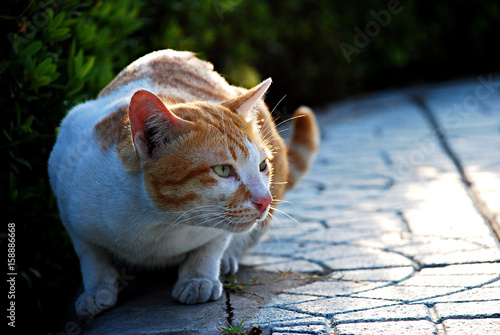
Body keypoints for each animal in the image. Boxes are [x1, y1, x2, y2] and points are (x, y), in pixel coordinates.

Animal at [47, 50, 320, 320]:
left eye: (262, 165)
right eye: (223, 170)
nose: (265, 200)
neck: (155, 222)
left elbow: (212, 245)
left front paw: (199, 279)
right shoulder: (67, 195)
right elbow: (91, 255)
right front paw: (96, 290)